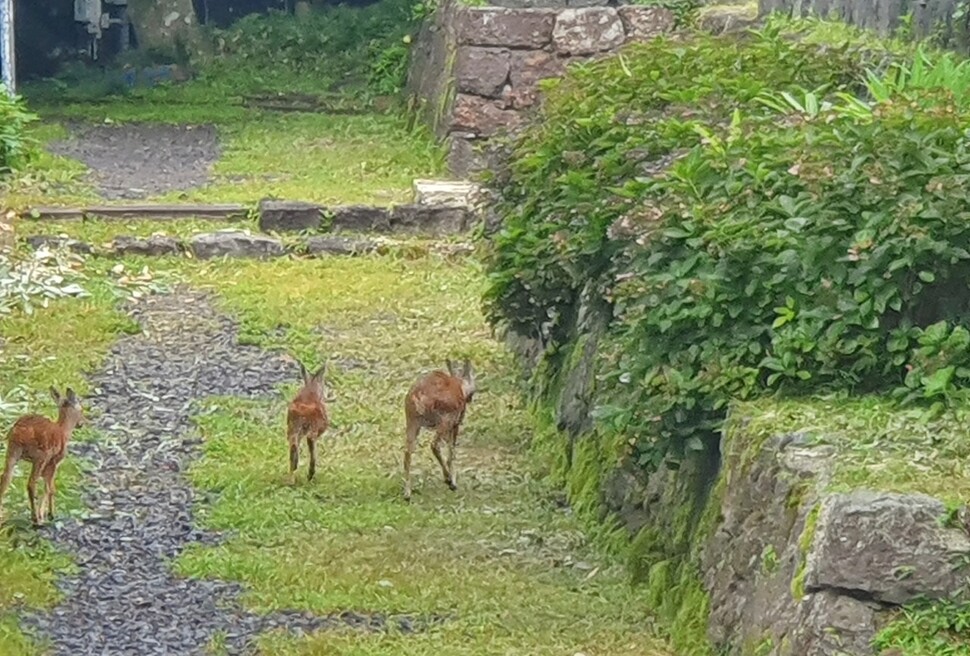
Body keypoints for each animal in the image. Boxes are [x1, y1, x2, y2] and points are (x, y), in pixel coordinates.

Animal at [0, 386, 85, 524]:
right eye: (81, 409)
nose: (81, 423)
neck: (63, 431)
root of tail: (19, 432)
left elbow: (46, 487)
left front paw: (44, 513)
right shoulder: (54, 460)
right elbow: (50, 488)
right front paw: (50, 514)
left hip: (12, 451)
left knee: (5, 478)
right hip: (40, 455)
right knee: (30, 483)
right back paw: (35, 518)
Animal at [402, 358, 474, 502]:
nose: (470, 398)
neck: (459, 386)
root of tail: (419, 396)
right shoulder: (455, 423)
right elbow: (452, 450)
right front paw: (453, 480)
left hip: (412, 421)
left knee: (407, 452)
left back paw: (407, 493)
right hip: (443, 421)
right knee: (434, 445)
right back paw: (448, 480)